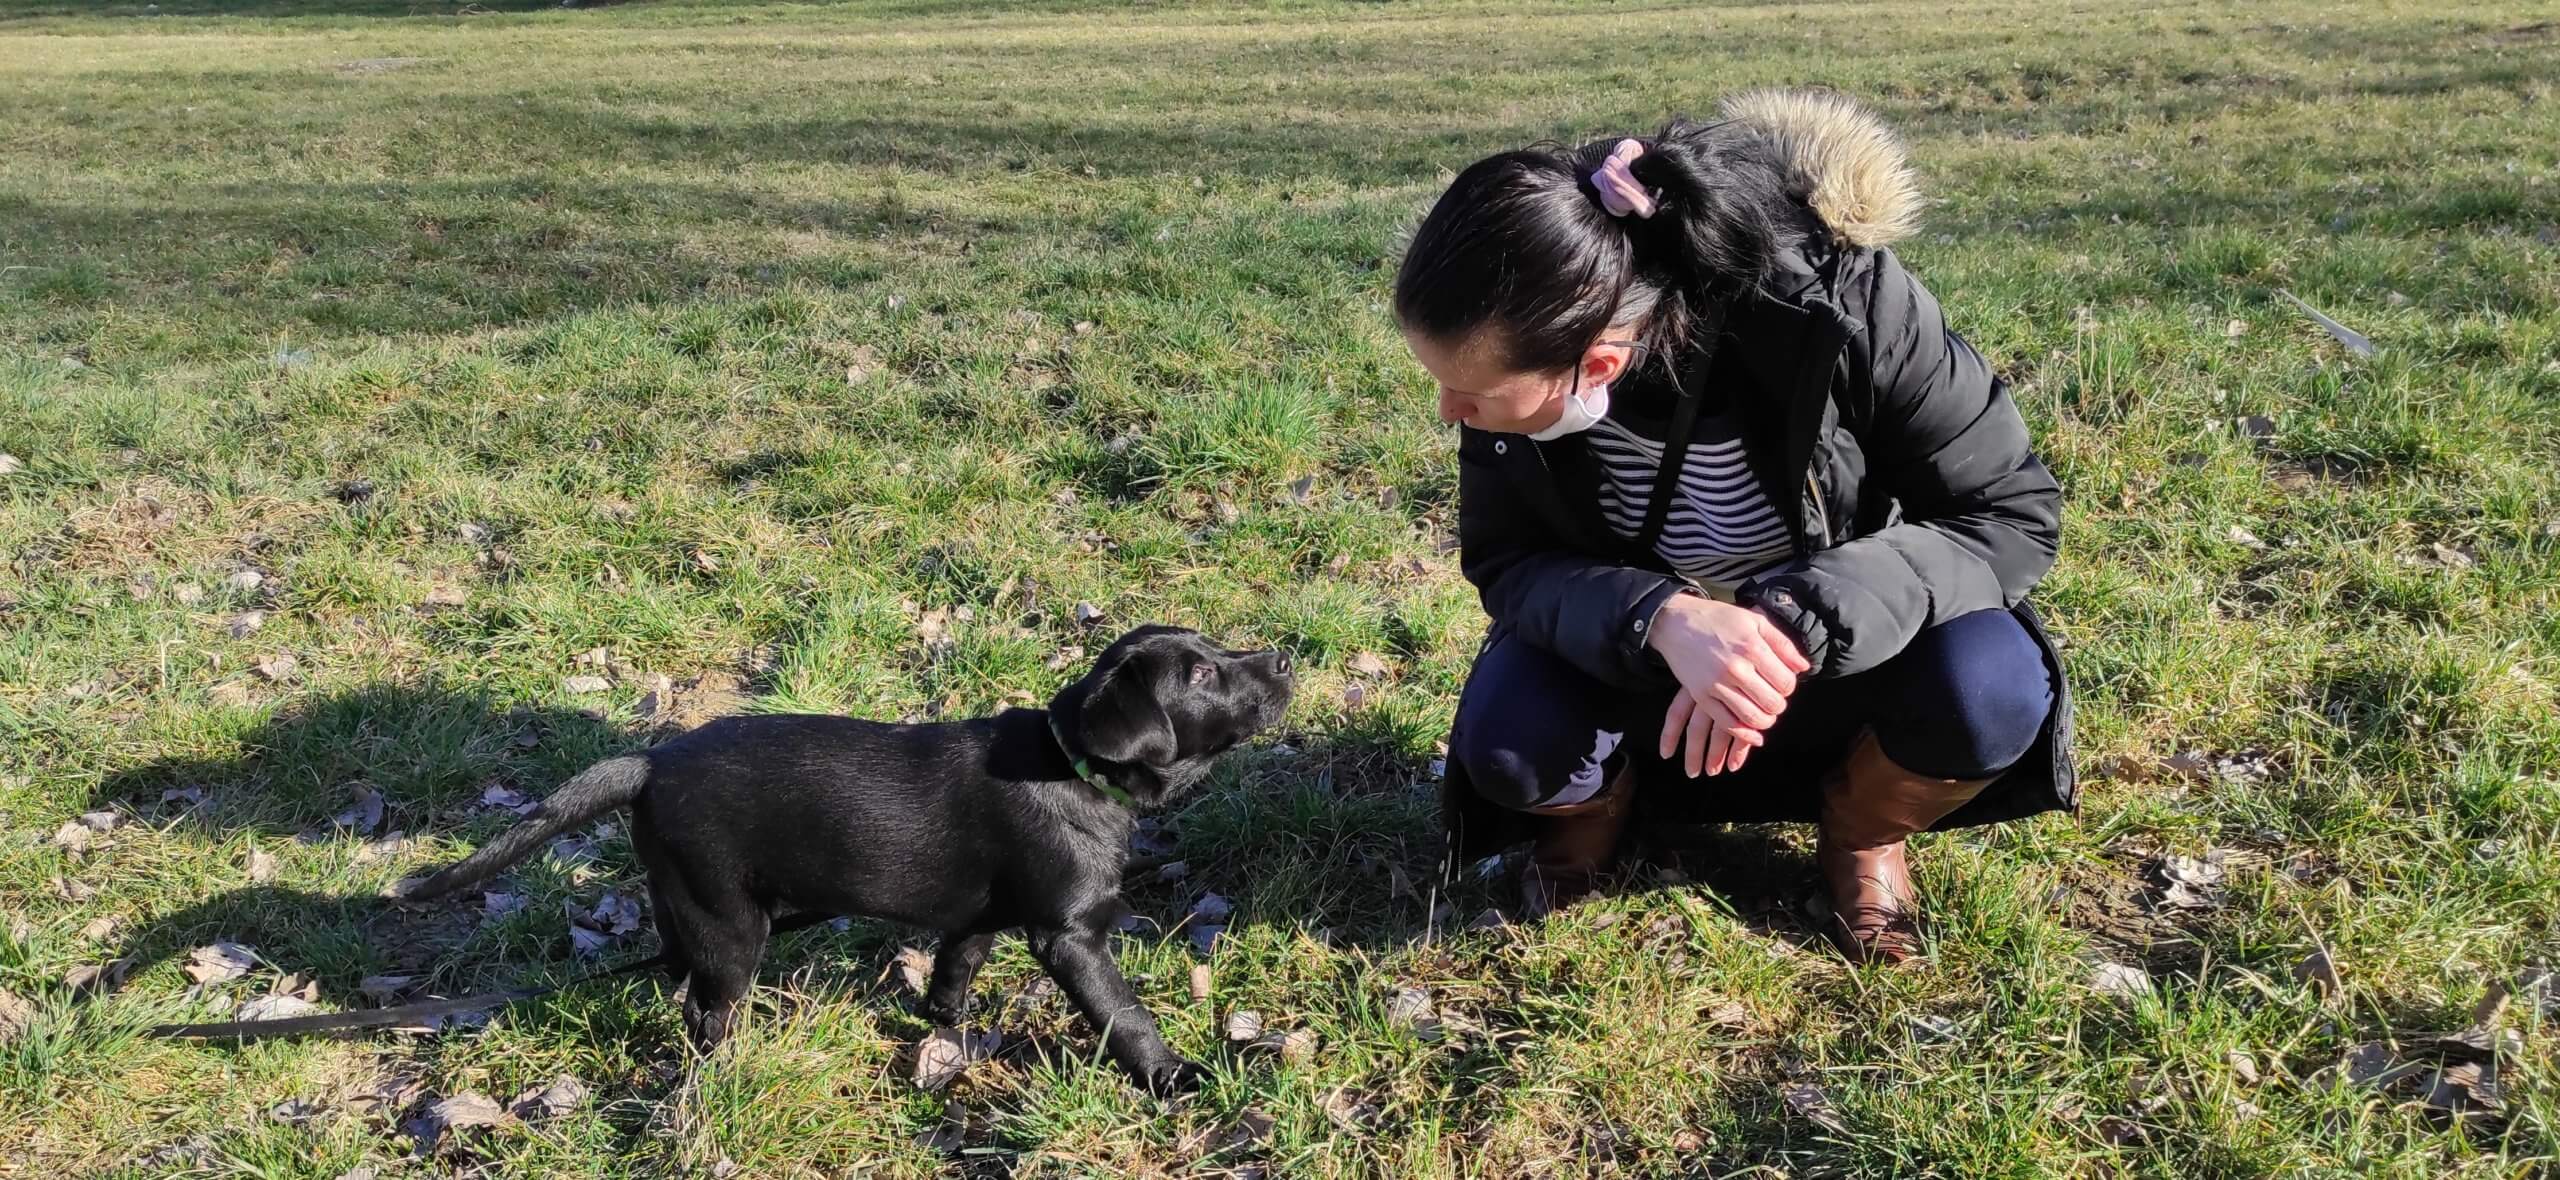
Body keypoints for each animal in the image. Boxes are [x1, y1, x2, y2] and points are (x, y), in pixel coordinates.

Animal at [394, 621, 1300, 1090]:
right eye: (1198, 675)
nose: (1286, 657)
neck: (1071, 762)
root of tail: (647, 762)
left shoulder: (984, 914)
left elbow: (955, 969)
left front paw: (950, 1031)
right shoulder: (1071, 936)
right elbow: (1123, 1014)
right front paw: (1173, 1075)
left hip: (687, 903)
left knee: (677, 967)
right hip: (732, 923)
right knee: (705, 1015)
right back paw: (720, 1076)